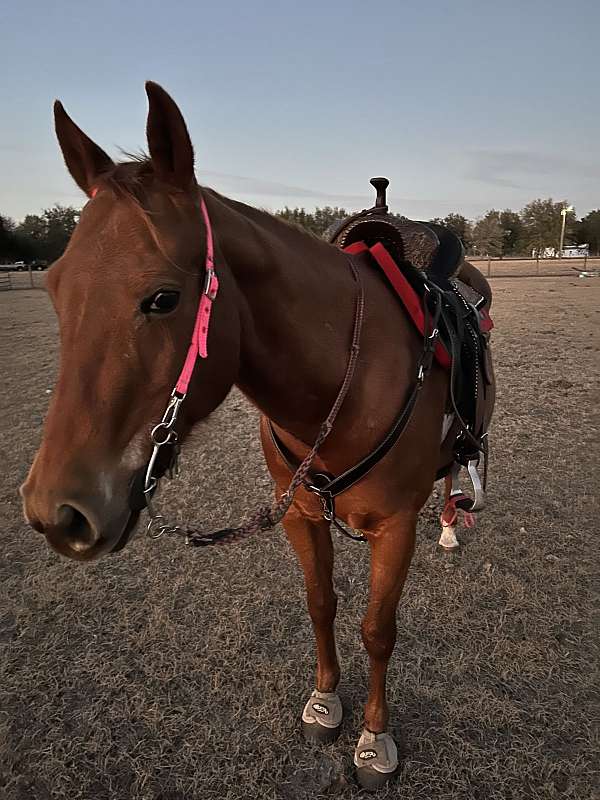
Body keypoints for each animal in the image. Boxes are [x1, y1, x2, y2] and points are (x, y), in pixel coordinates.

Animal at [21, 82, 495, 790]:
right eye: (54, 288)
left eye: (163, 298)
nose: (56, 512)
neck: (344, 379)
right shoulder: (299, 514)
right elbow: (321, 604)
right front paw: (325, 702)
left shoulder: (394, 527)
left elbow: (378, 628)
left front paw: (374, 738)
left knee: (451, 477)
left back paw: (449, 526)